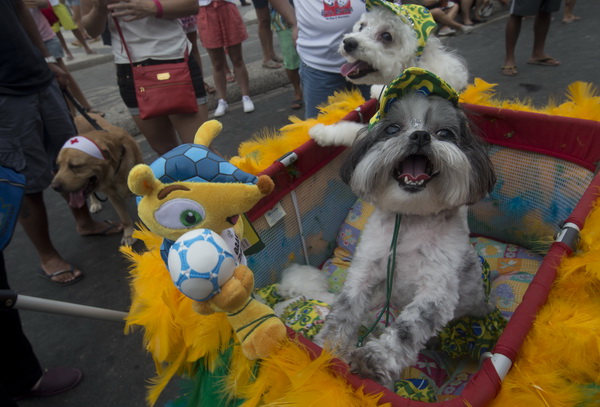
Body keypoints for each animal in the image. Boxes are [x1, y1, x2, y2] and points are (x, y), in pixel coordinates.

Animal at [310, 1, 468, 148]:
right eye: (361, 26)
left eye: (387, 36)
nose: (348, 42)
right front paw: (377, 90)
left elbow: (352, 131)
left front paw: (323, 132)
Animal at [314, 75, 496, 390]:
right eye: (393, 129)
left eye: (445, 133)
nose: (421, 136)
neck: (411, 220)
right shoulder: (366, 271)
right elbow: (345, 309)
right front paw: (327, 349)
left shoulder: (435, 291)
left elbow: (407, 329)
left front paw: (375, 359)